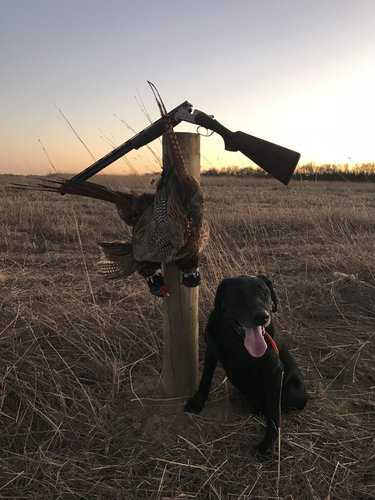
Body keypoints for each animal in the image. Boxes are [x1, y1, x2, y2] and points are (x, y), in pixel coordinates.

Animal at [186, 274, 308, 454]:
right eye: (237, 295)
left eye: (265, 293)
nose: (262, 317)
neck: (237, 342)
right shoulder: (211, 352)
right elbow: (205, 380)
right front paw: (197, 402)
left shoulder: (275, 372)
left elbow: (274, 412)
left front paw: (268, 444)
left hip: (295, 394)